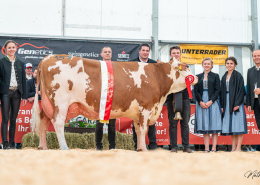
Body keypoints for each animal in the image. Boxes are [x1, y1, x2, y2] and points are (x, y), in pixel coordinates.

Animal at [30, 54, 197, 151]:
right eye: (186, 67)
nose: (195, 78)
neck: (156, 76)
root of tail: (49, 58)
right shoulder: (146, 107)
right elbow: (143, 130)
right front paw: (144, 149)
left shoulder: (138, 112)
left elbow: (138, 130)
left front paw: (140, 149)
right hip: (61, 102)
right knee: (57, 123)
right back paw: (64, 147)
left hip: (48, 103)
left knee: (44, 122)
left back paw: (43, 147)